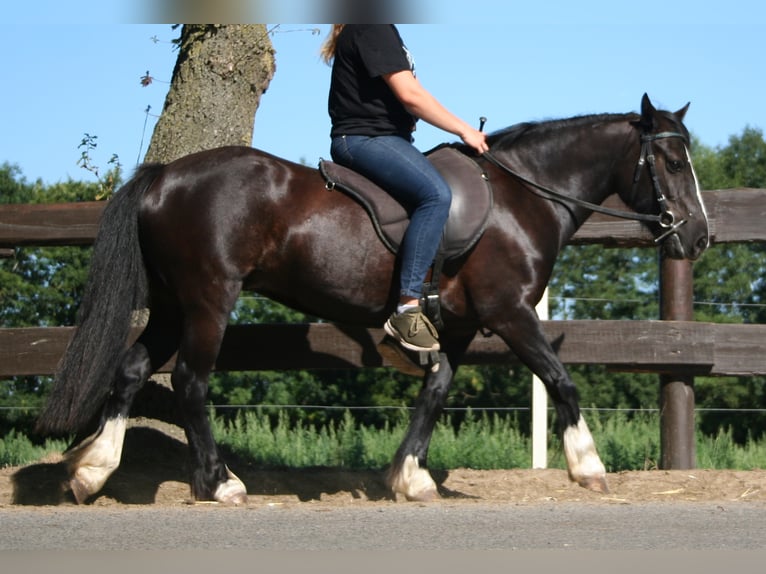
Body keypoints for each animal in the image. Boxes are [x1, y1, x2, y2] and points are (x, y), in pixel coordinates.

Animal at [34, 93, 708, 504]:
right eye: (673, 162)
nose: (699, 237)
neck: (523, 198)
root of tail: (165, 177)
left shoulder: (459, 326)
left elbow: (433, 395)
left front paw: (409, 478)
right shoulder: (510, 314)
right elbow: (562, 380)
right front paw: (588, 467)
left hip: (174, 306)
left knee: (131, 370)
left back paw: (91, 471)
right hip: (208, 302)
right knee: (191, 384)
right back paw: (219, 483)